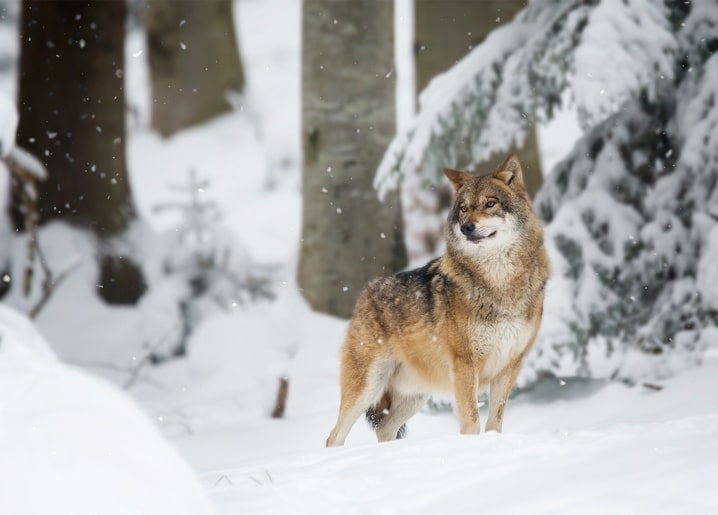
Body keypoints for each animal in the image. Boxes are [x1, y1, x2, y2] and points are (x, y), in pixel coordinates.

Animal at [326, 154, 550, 446]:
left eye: (490, 203)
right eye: (463, 209)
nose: (467, 227)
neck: (500, 284)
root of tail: (366, 293)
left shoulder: (510, 365)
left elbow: (495, 422)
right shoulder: (465, 364)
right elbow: (471, 420)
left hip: (416, 395)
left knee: (383, 428)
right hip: (367, 387)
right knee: (334, 436)